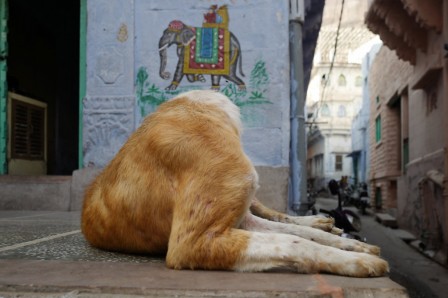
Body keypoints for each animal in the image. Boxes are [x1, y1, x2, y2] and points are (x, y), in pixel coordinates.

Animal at [82, 90, 390, 278]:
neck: (199, 110)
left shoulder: (240, 219)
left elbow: (297, 233)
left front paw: (352, 246)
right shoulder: (195, 241)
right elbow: (293, 240)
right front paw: (357, 260)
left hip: (251, 201)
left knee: (279, 215)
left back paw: (320, 221)